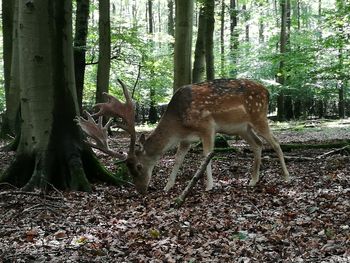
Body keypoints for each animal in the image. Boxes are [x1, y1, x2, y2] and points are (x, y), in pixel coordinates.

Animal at [76, 78, 290, 194]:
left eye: (138, 166)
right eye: (128, 170)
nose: (141, 190)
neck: (178, 124)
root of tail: (267, 92)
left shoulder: (207, 126)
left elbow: (206, 155)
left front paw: (209, 186)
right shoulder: (185, 139)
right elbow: (177, 160)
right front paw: (168, 186)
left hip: (259, 116)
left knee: (276, 143)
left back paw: (287, 177)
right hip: (241, 128)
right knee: (258, 144)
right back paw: (253, 180)